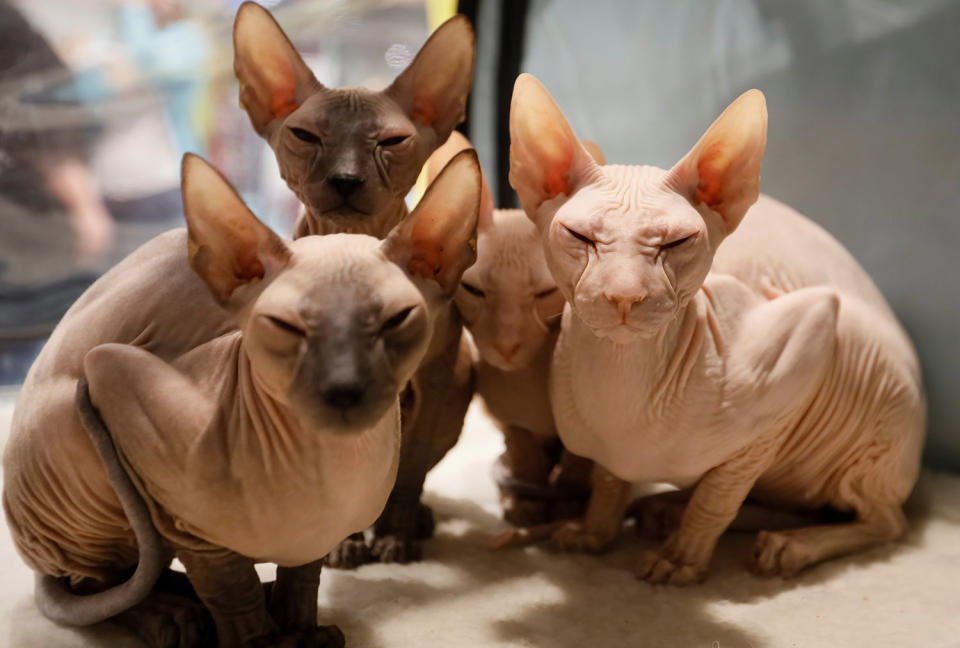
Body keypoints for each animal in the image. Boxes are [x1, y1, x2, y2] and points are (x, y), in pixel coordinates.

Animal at [506, 73, 928, 584]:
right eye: (579, 236)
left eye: (677, 242)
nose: (625, 295)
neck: (624, 391)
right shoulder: (610, 447)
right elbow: (609, 481)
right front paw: (593, 534)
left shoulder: (803, 342)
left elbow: (719, 495)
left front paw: (682, 559)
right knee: (798, 504)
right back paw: (666, 508)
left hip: (868, 409)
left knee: (884, 520)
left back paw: (790, 545)